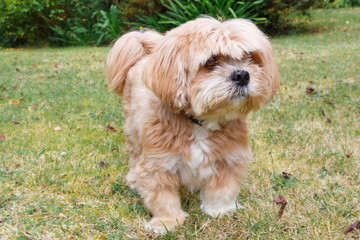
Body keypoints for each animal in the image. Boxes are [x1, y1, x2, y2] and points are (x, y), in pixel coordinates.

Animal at [105, 17, 280, 234]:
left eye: (250, 56)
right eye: (211, 61)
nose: (242, 75)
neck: (201, 122)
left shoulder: (229, 159)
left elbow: (223, 190)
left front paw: (219, 210)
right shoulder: (157, 164)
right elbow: (162, 197)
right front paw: (167, 222)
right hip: (133, 133)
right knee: (134, 156)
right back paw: (132, 180)